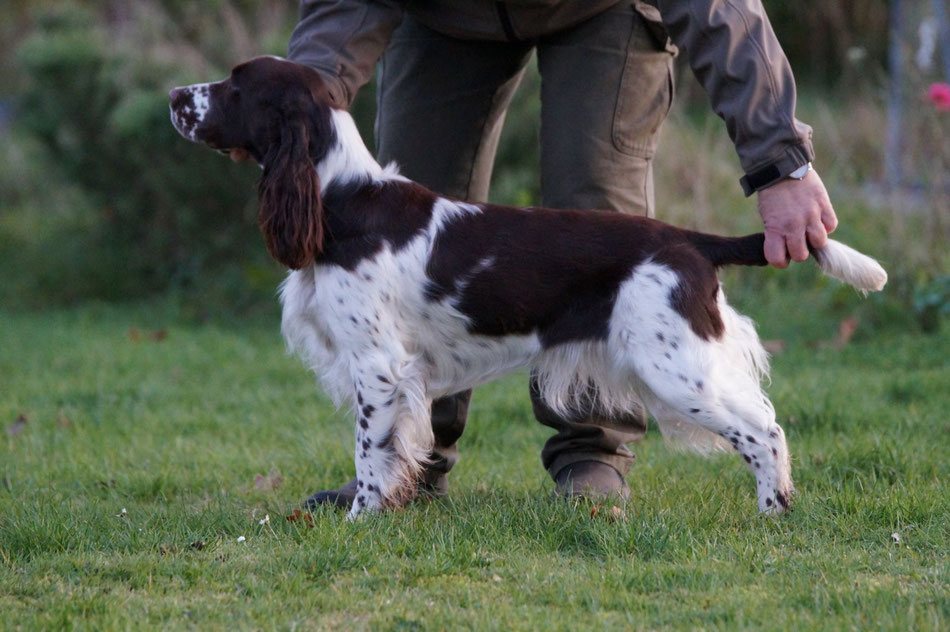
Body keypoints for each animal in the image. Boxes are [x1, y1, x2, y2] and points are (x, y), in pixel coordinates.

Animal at [167, 55, 888, 520]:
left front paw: (360, 521)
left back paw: (773, 511)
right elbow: (403, 448)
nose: (175, 97)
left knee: (763, 427)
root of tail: (688, 238)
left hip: (673, 363)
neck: (341, 198)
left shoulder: (377, 365)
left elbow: (373, 451)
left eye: (235, 87)